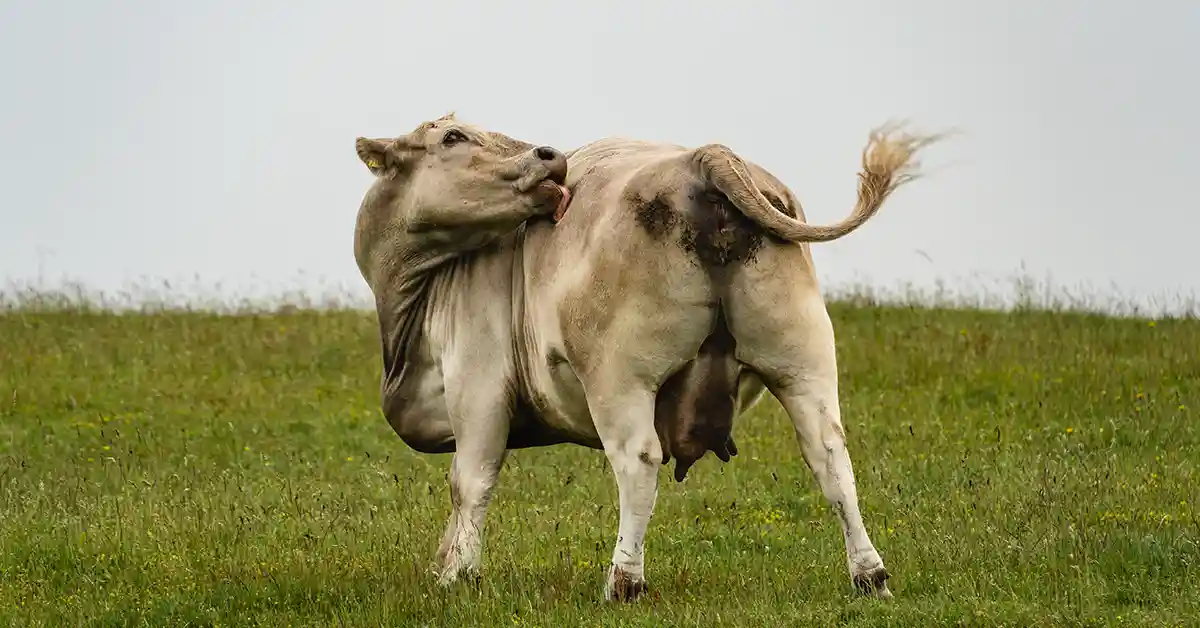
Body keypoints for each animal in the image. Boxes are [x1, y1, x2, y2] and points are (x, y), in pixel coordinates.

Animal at [350, 114, 940, 605]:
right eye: (452, 136)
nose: (550, 155)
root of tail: (702, 156)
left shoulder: (478, 382)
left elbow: (469, 481)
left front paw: (456, 575)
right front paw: (445, 564)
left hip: (618, 375)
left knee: (638, 462)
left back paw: (623, 582)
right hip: (803, 357)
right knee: (829, 455)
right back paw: (869, 576)